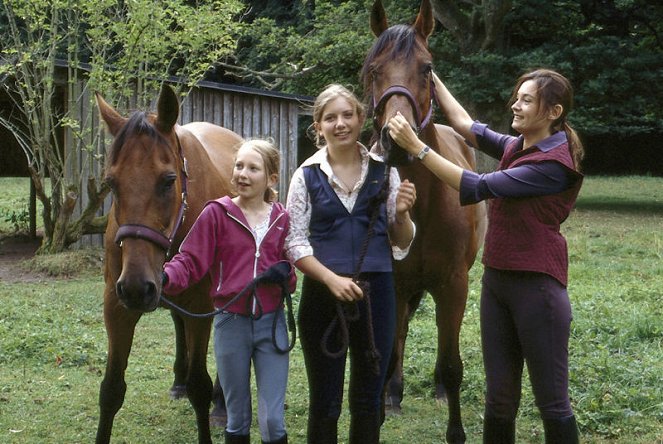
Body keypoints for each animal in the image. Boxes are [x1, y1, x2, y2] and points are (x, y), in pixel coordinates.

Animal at [94, 85, 243, 442]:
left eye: (167, 180)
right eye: (111, 183)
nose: (136, 287)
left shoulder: (200, 304)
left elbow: (200, 387)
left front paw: (209, 399)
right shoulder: (116, 306)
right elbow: (111, 390)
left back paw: (222, 402)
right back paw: (178, 380)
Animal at [364, 1, 488, 442]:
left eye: (427, 68)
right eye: (373, 69)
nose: (397, 140)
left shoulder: (454, 284)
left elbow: (453, 365)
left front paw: (456, 431)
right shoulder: (393, 284)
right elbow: (386, 354)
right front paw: (380, 409)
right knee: (400, 334)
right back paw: (395, 394)